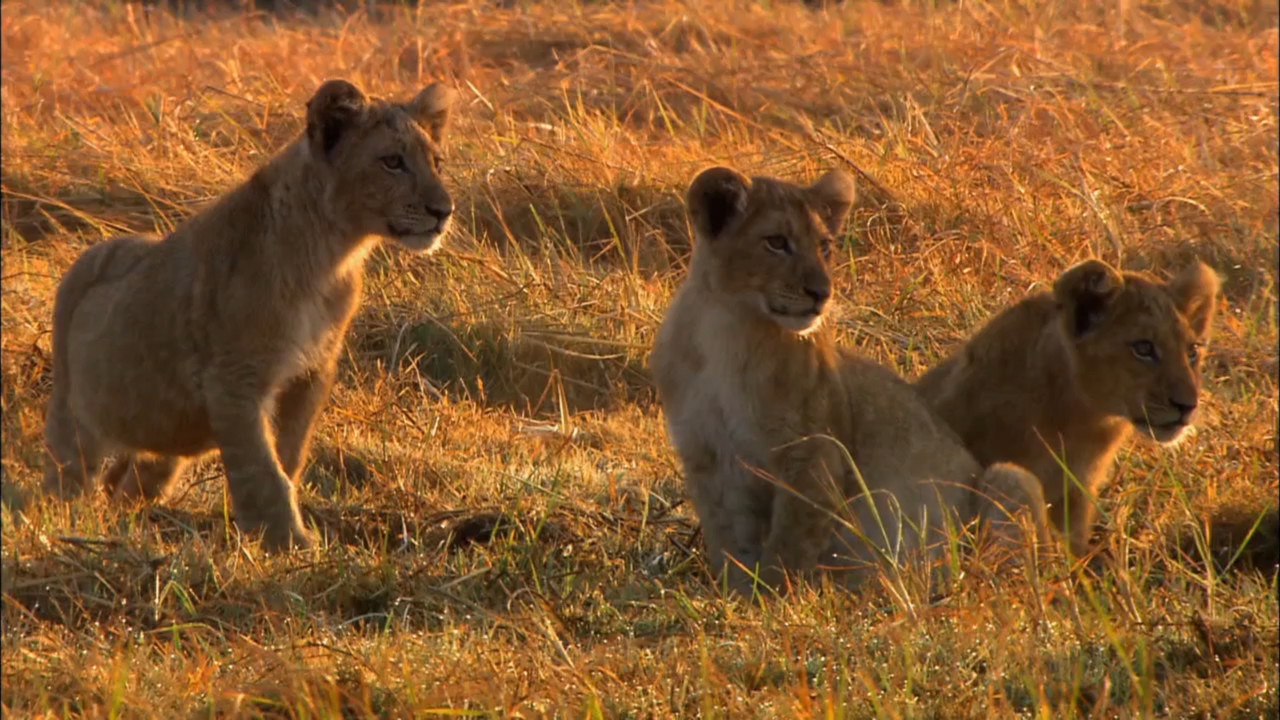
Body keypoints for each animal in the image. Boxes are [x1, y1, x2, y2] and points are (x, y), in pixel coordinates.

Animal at [42, 78, 456, 551]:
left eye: (437, 163)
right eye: (392, 162)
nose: (444, 211)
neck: (331, 256)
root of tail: (87, 257)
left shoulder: (312, 373)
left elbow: (288, 458)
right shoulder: (234, 380)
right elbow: (261, 470)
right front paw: (290, 544)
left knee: (130, 482)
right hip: (73, 416)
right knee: (67, 475)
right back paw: (61, 521)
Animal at [649, 166, 1049, 595]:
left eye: (825, 246)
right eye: (776, 242)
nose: (822, 292)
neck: (729, 331)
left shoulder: (814, 451)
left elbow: (791, 541)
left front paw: (775, 598)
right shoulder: (708, 458)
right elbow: (730, 543)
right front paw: (738, 597)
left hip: (1009, 480)